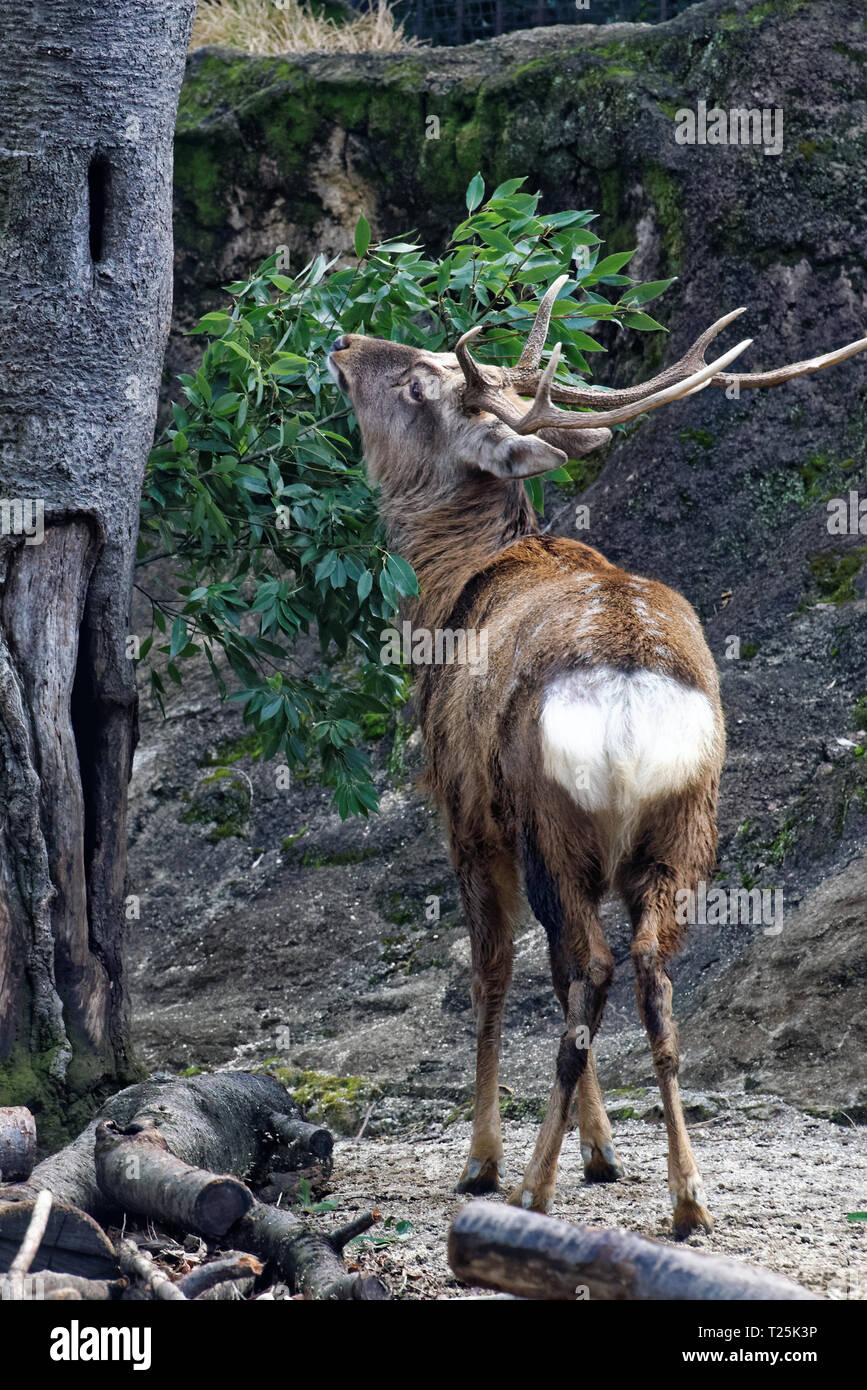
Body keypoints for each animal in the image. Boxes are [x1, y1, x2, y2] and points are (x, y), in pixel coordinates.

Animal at [328, 279, 867, 1237]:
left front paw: (489, 1158)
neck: (445, 597)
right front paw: (600, 1148)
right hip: (686, 824)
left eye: (422, 382)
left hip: (550, 821)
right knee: (647, 975)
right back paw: (686, 1197)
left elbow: (495, 976)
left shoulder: (465, 813)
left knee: (592, 970)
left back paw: (530, 1184)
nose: (347, 343)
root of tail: (629, 692)